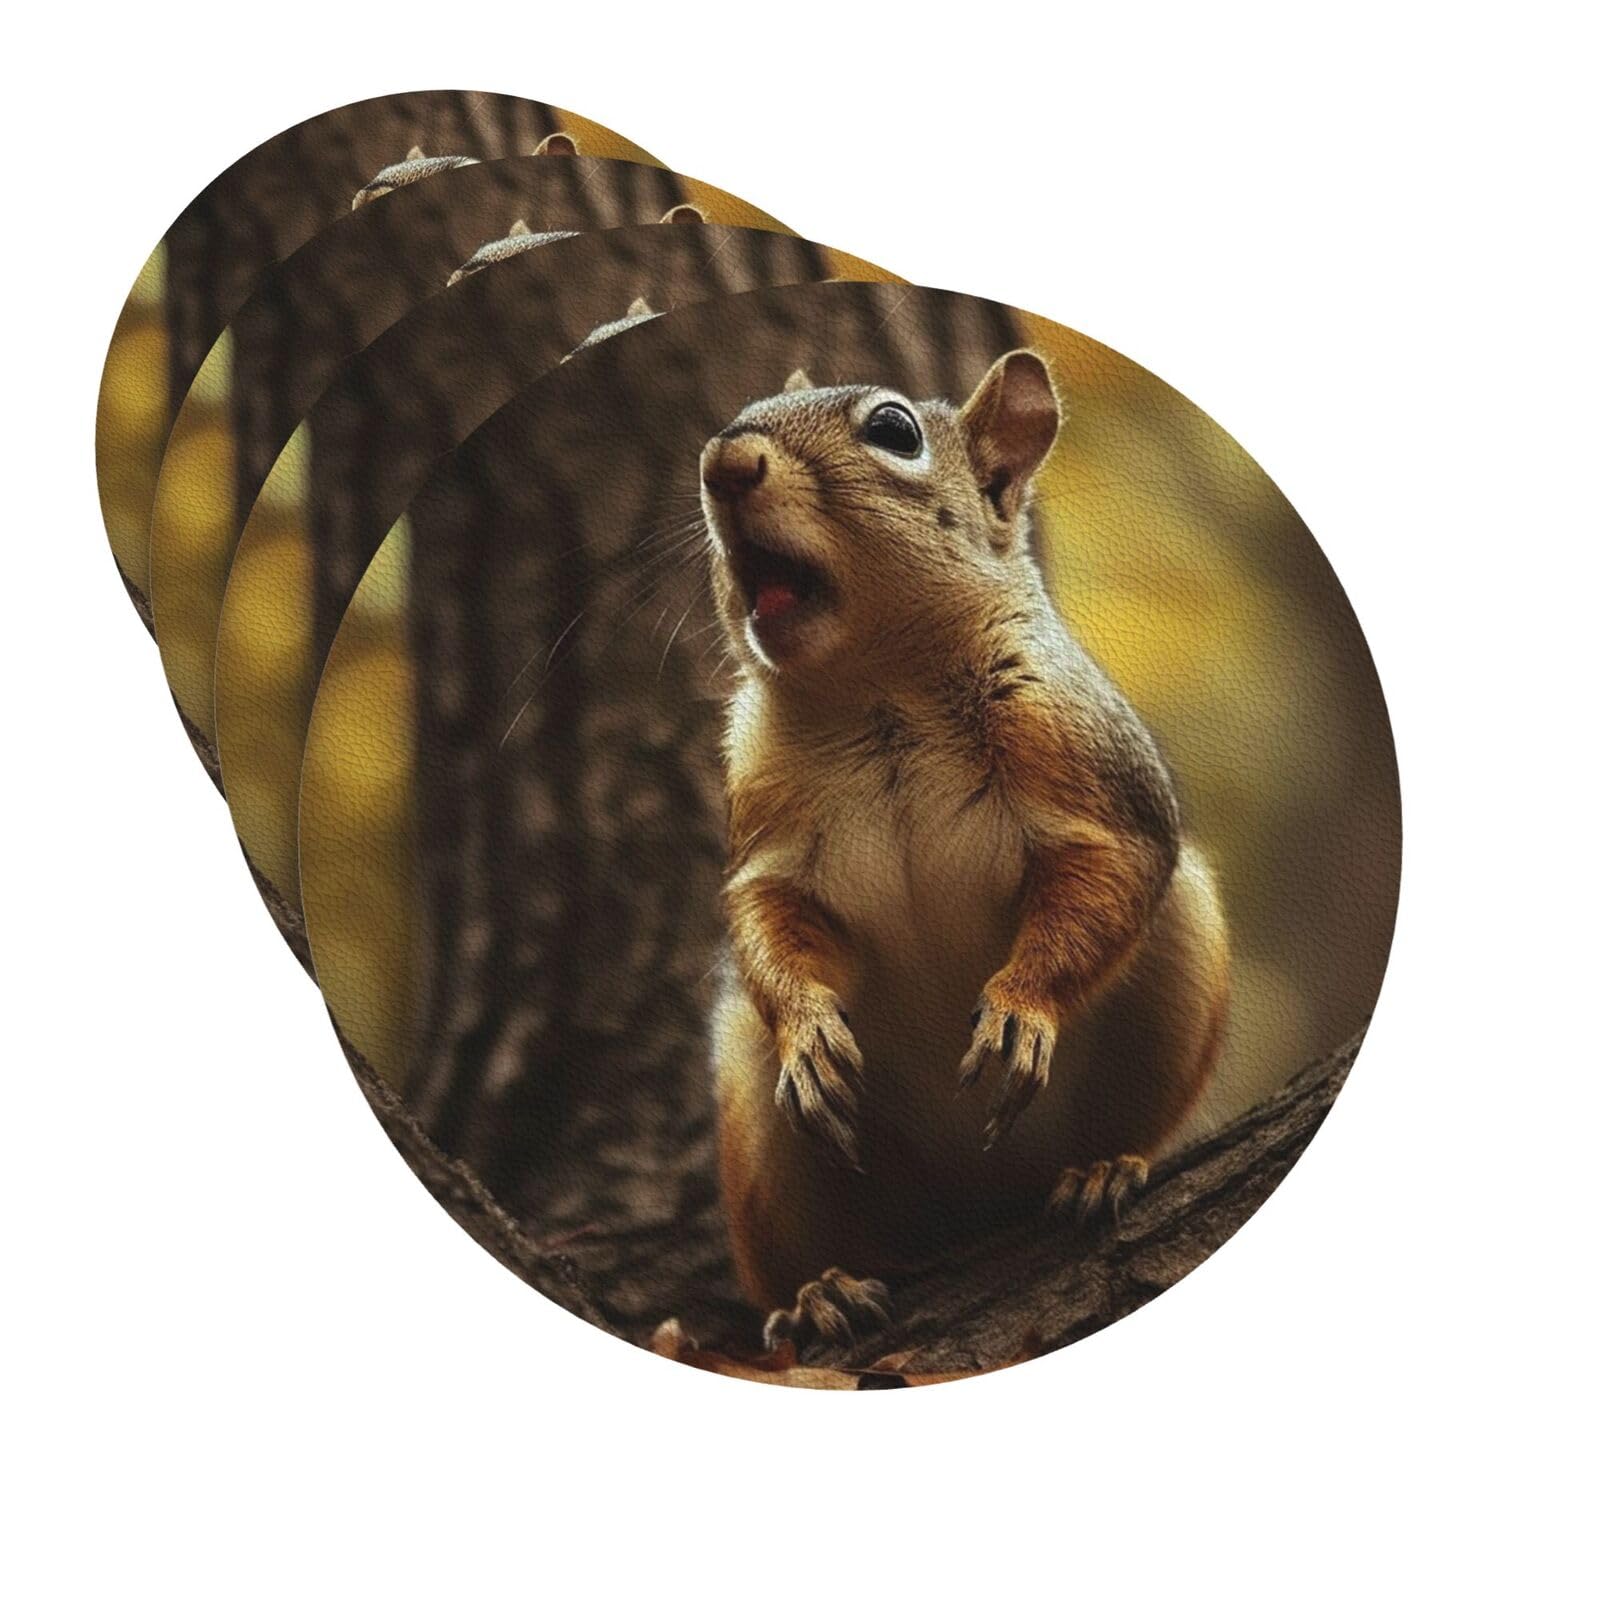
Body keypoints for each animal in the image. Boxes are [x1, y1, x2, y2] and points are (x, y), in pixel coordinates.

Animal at [699, 352, 1232, 1349]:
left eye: (894, 431)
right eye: (734, 414)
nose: (724, 464)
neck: (880, 687)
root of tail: (975, 1210)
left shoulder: (1094, 775)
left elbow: (1104, 878)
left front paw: (1020, 1007)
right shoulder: (764, 824)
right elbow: (767, 916)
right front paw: (808, 1032)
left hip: (1177, 973)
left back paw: (1102, 1170)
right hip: (759, 1127)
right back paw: (822, 1292)